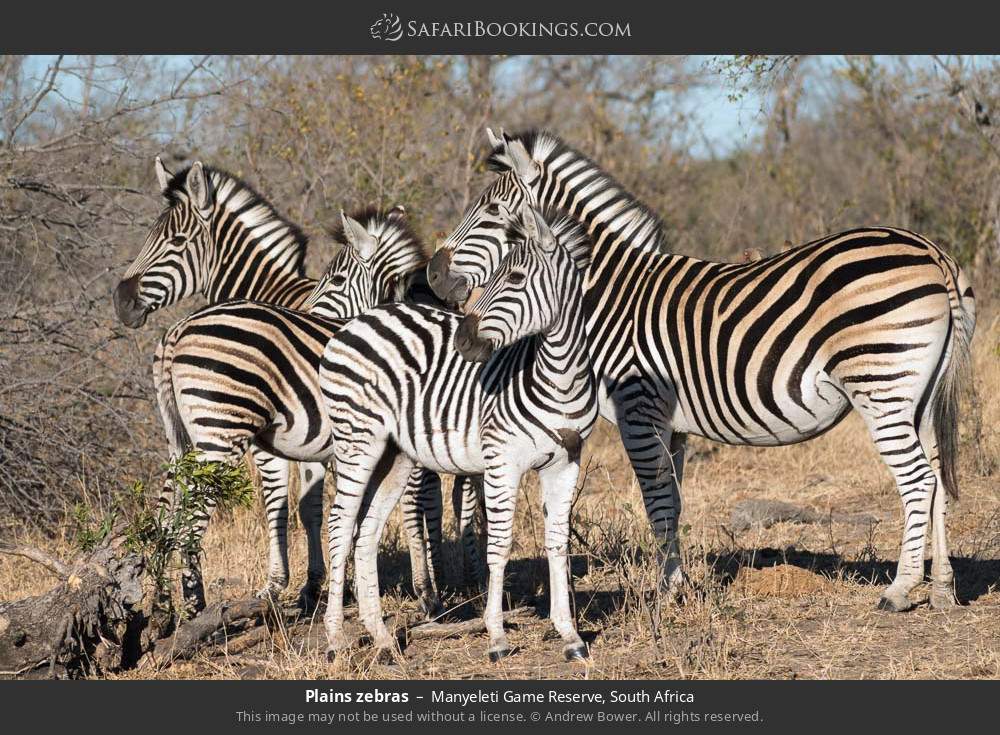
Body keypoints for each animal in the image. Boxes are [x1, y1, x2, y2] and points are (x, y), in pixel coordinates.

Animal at [320, 206, 596, 660]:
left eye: (515, 278)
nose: (465, 341)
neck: (561, 377)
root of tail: (355, 323)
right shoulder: (502, 461)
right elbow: (498, 546)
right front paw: (497, 636)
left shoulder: (566, 461)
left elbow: (558, 544)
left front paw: (569, 634)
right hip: (358, 441)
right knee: (341, 527)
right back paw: (335, 640)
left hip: (394, 455)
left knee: (367, 534)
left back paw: (382, 639)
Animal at [428, 129, 976, 612]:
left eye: (494, 213)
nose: (433, 275)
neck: (605, 297)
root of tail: (932, 252)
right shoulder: (672, 425)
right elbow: (674, 500)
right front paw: (677, 584)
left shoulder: (638, 412)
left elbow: (656, 502)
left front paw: (665, 595)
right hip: (920, 396)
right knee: (936, 479)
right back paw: (943, 589)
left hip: (881, 386)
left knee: (918, 481)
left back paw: (900, 590)